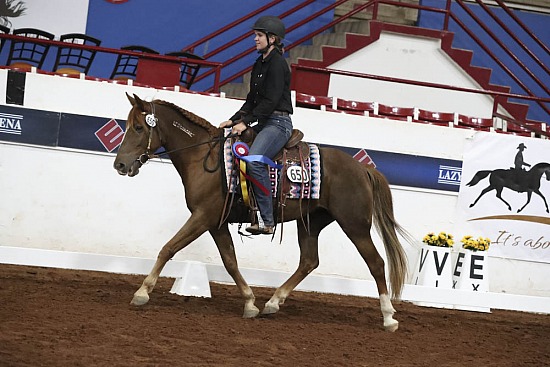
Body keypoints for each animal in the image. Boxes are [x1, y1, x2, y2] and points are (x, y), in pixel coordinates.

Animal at [114, 93, 412, 332]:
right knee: (309, 261)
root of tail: (362, 168)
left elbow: (169, 248)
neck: (203, 157)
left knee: (376, 263)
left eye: (139, 127)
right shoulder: (215, 223)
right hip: (310, 222)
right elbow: (230, 261)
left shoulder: (203, 216)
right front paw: (250, 303)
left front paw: (142, 292)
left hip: (354, 224)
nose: (120, 164)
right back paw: (273, 302)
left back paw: (388, 317)